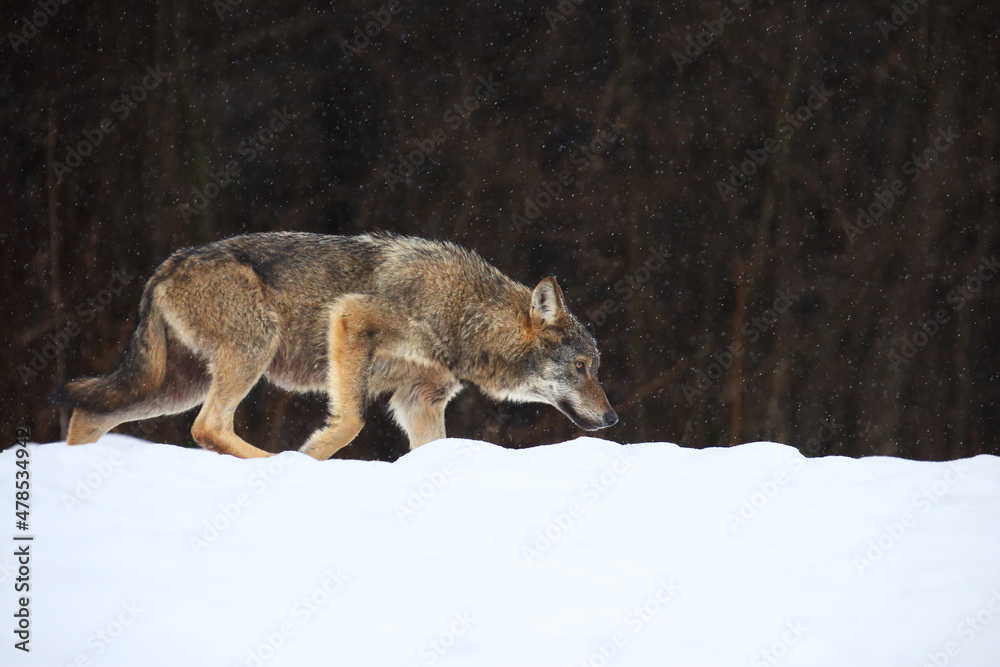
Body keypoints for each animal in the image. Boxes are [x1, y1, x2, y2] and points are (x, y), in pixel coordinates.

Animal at [54, 232, 618, 459]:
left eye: (596, 368)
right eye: (582, 367)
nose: (613, 419)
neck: (465, 314)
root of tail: (168, 264)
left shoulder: (420, 400)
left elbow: (431, 449)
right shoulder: (350, 321)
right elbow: (349, 423)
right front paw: (309, 458)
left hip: (176, 386)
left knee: (90, 414)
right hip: (249, 354)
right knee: (207, 427)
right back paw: (272, 463)